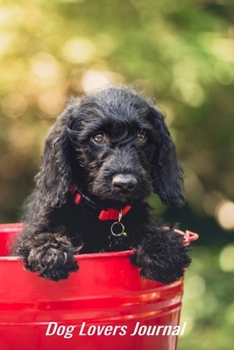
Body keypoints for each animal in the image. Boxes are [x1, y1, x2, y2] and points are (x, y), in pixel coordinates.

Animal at [12, 86, 190, 284]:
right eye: (98, 137)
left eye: (141, 136)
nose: (125, 184)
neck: (103, 210)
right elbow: (41, 236)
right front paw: (51, 251)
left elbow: (148, 229)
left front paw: (163, 250)